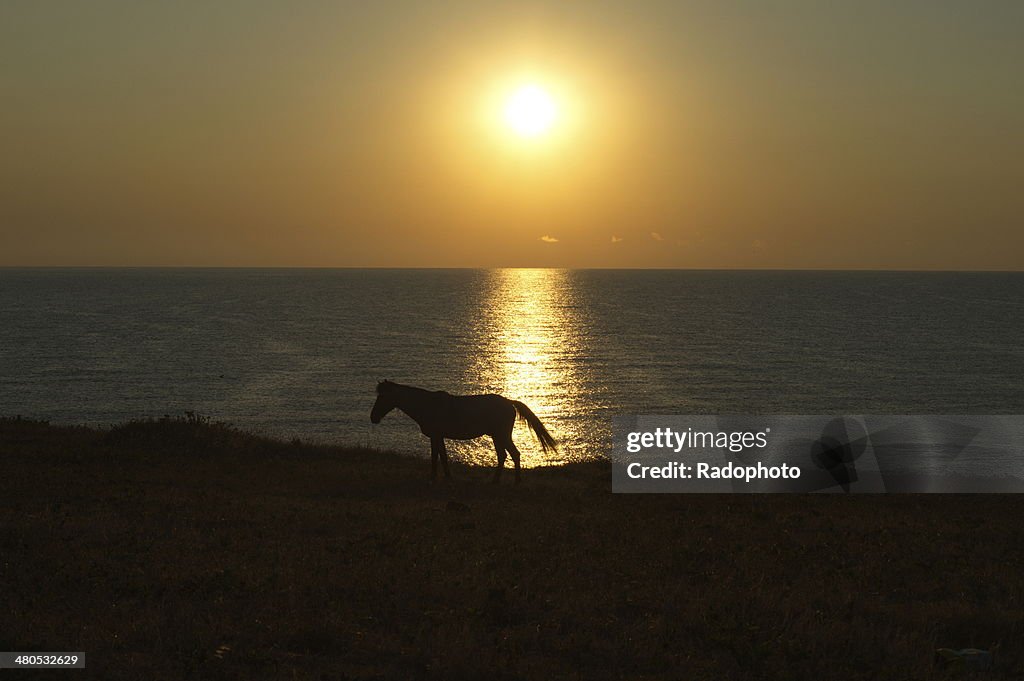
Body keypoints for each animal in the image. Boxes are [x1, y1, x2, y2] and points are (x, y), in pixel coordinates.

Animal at [370, 376, 557, 483]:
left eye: (383, 396)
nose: (373, 417)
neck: (427, 405)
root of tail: (509, 402)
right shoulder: (438, 436)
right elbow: (441, 456)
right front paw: (446, 477)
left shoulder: (436, 435)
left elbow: (437, 457)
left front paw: (435, 478)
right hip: (497, 436)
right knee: (503, 455)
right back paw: (496, 481)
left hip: (502, 435)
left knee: (513, 454)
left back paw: (515, 481)